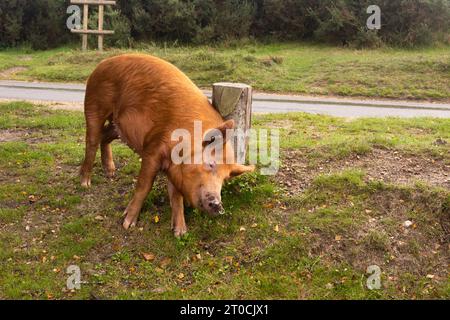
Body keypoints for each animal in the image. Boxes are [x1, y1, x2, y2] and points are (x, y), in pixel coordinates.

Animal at [79, 53, 255, 238]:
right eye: (211, 164)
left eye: (225, 178)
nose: (218, 205)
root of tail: (104, 62)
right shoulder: (153, 150)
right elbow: (144, 185)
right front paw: (127, 223)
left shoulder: (174, 169)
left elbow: (176, 195)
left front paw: (180, 233)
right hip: (93, 104)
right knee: (92, 141)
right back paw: (85, 183)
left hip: (117, 125)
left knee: (104, 137)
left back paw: (111, 173)